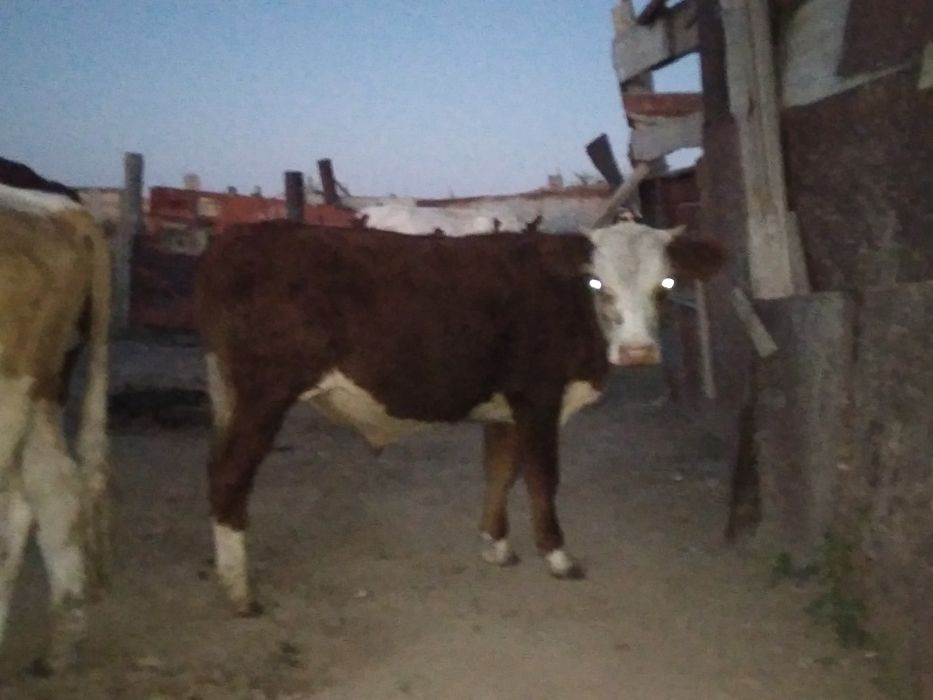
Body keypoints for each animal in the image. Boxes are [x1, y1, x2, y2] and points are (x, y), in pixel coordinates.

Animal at [194, 218, 725, 615]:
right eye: (598, 283)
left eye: (666, 284)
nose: (638, 352)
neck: (569, 303)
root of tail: (235, 240)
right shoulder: (538, 397)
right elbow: (541, 477)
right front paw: (557, 555)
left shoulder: (504, 409)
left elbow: (500, 471)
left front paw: (497, 544)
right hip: (264, 394)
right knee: (230, 476)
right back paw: (241, 592)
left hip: (231, 397)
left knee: (216, 467)